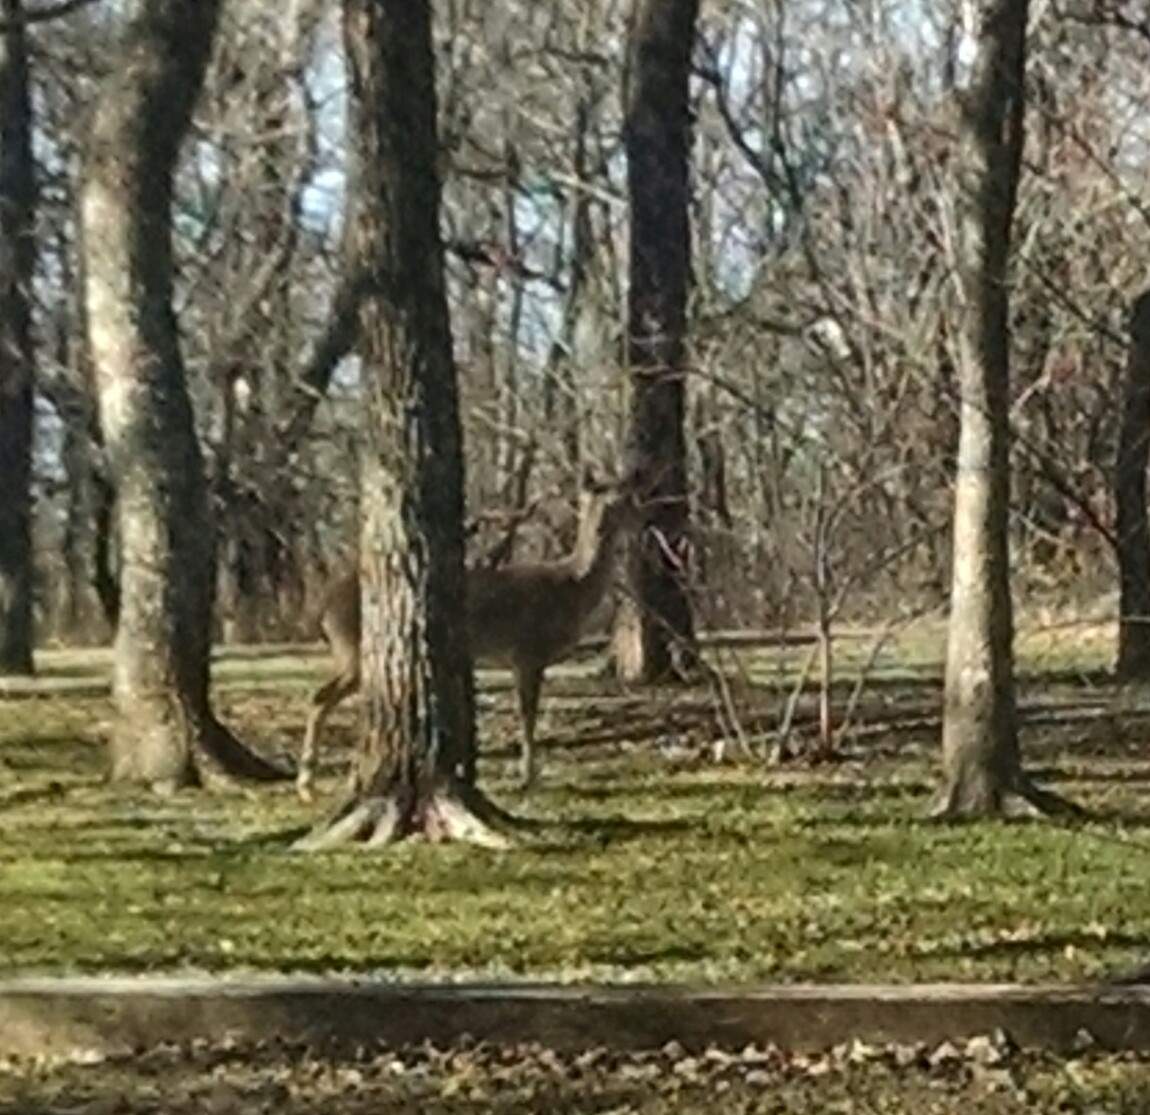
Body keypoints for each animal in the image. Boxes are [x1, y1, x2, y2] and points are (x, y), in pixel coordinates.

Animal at [296, 468, 638, 801]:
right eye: (617, 500)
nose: (639, 510)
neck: (571, 589)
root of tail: (323, 609)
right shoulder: (527, 652)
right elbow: (527, 715)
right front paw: (527, 777)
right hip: (353, 648)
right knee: (319, 697)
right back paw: (307, 785)